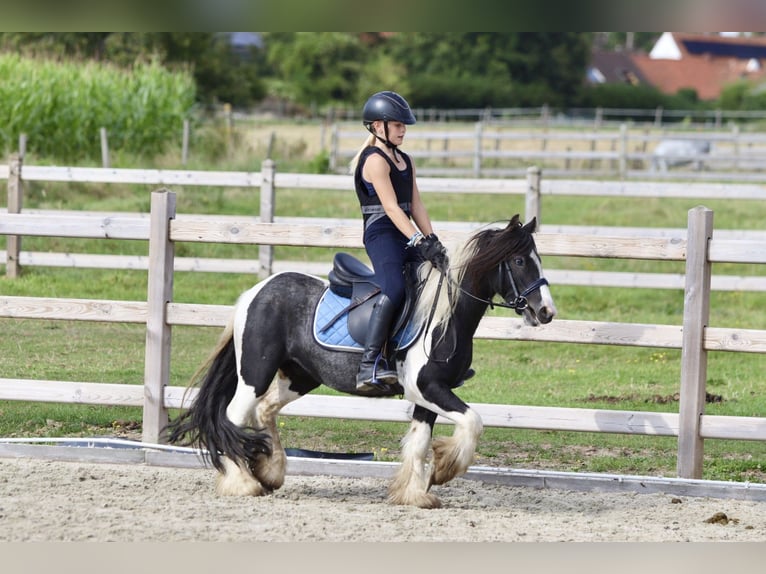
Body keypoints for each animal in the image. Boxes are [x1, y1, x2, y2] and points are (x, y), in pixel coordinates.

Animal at [168, 215, 560, 508]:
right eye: (520, 261)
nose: (546, 312)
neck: (445, 317)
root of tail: (255, 292)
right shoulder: (426, 387)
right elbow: (473, 422)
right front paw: (444, 470)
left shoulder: (430, 393)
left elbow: (420, 441)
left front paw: (414, 494)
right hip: (256, 371)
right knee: (234, 416)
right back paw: (242, 483)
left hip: (300, 376)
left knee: (264, 410)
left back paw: (270, 473)